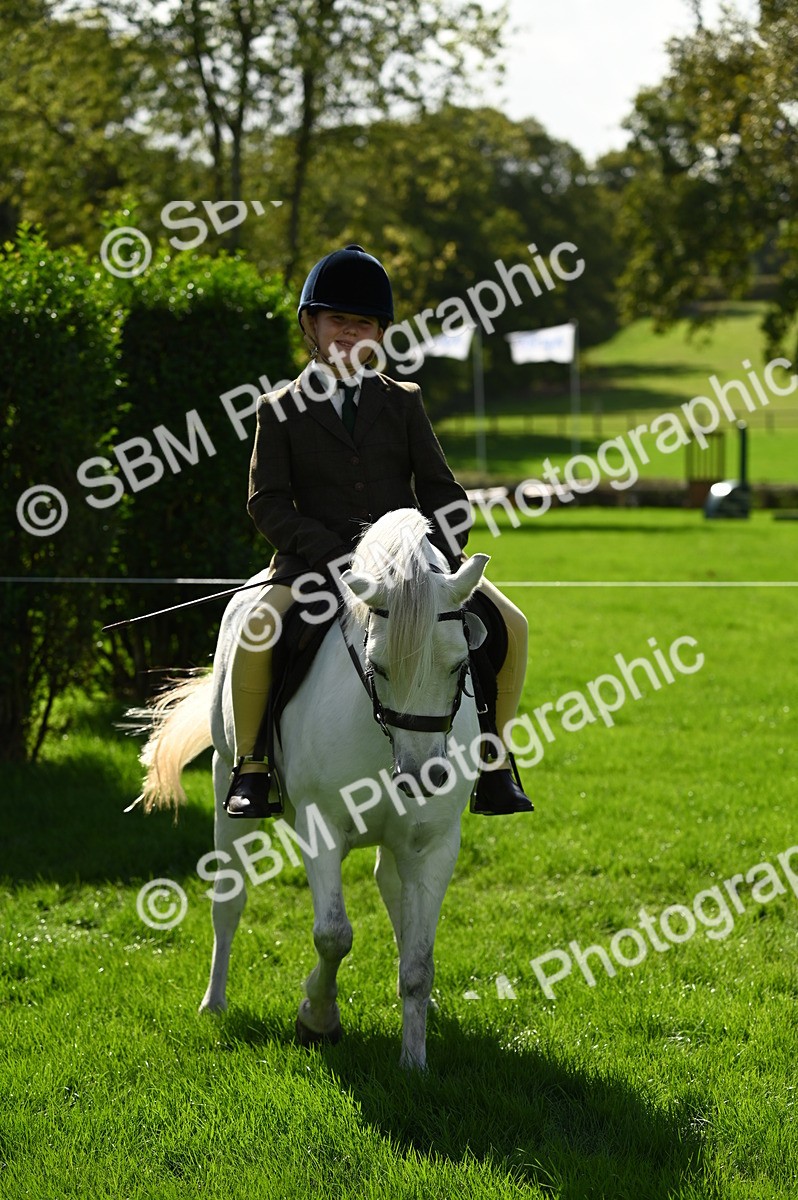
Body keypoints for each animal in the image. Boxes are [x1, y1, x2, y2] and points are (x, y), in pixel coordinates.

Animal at [135, 508, 489, 1069]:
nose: (422, 776)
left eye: (460, 666)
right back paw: (214, 1004)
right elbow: (334, 935)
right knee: (228, 900)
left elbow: (419, 961)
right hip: (223, 781)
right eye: (378, 666)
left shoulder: (434, 843)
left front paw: (414, 1062)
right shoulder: (320, 826)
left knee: (393, 892)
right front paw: (317, 1019)